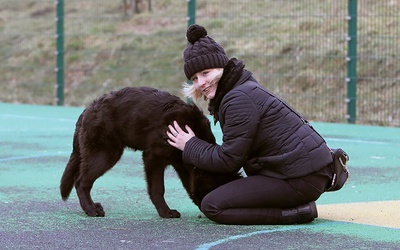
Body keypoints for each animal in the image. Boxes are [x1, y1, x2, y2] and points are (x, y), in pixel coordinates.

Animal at [59, 87, 241, 218]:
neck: (193, 134)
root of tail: (87, 110)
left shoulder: (180, 164)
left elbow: (188, 186)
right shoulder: (154, 157)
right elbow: (158, 188)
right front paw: (165, 212)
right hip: (106, 154)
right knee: (81, 182)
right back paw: (91, 209)